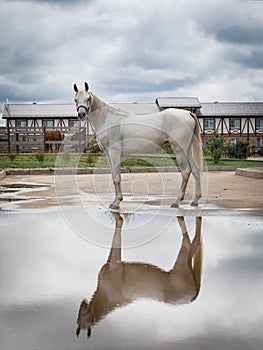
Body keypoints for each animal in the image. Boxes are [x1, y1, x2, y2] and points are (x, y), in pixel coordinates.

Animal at [73, 82, 203, 208]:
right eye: (75, 99)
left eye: (88, 98)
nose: (81, 114)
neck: (107, 119)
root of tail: (188, 113)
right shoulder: (108, 154)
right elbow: (113, 176)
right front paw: (114, 202)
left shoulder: (114, 152)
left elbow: (117, 177)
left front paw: (117, 202)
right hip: (187, 150)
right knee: (195, 170)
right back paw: (195, 200)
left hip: (179, 150)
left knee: (185, 172)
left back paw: (177, 202)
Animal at [76, 212, 204, 338]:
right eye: (78, 319)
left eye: (83, 317)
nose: (82, 303)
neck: (107, 297)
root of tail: (192, 297)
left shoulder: (115, 263)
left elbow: (118, 227)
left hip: (182, 260)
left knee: (189, 243)